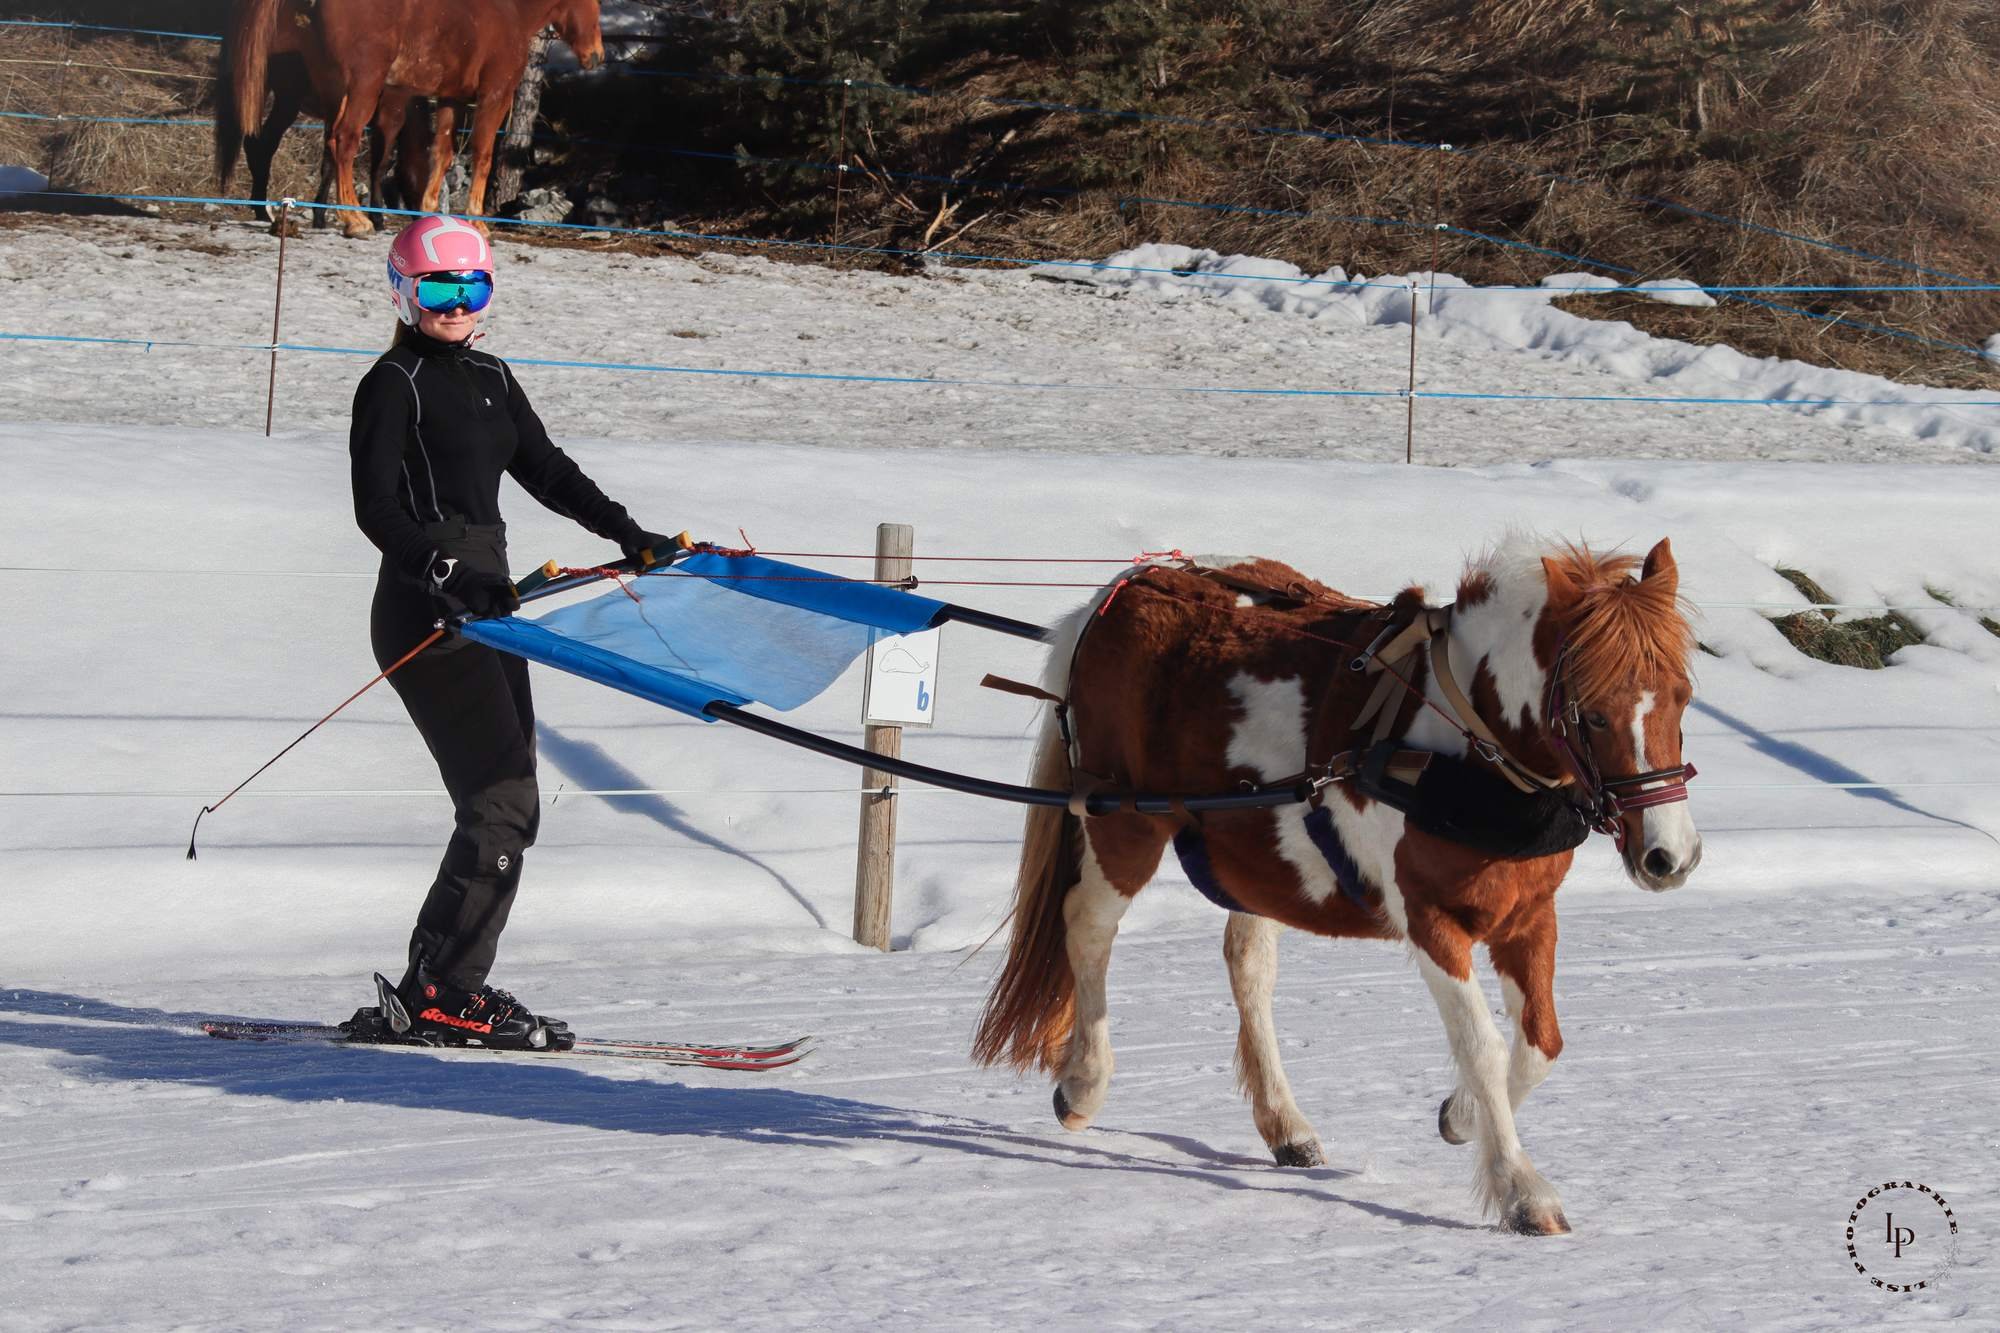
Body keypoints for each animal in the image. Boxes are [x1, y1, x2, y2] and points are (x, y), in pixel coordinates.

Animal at [216, 0, 432, 233]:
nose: (422, 216)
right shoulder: (386, 118)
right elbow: (378, 166)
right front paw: (376, 218)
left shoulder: (335, 117)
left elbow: (329, 163)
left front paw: (320, 217)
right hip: (287, 101)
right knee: (263, 146)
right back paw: (262, 210)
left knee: (255, 144)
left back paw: (261, 209)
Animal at [971, 537, 1700, 1234]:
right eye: (1593, 714)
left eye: (1683, 696)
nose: (1670, 855)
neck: (1464, 740)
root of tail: (1120, 591)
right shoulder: (1430, 919)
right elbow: (1482, 1046)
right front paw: (1521, 1190)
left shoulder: (1527, 914)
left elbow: (1540, 1043)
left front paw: (1461, 1115)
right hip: (1123, 823)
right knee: (1088, 927)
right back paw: (1085, 1083)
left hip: (1252, 856)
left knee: (1248, 966)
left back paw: (1284, 1123)